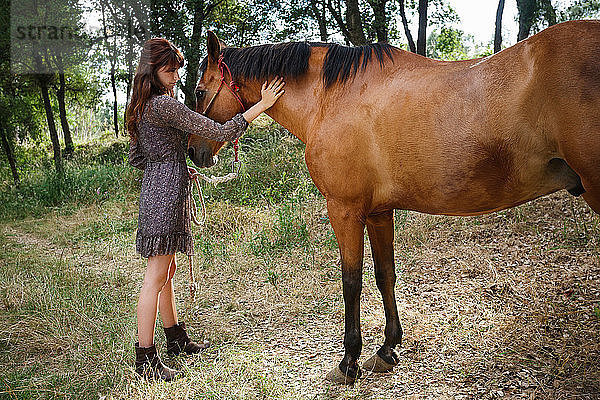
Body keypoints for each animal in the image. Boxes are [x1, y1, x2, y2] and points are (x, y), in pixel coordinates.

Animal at [188, 21, 600, 384]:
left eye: (198, 91)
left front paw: (349, 362)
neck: (331, 97)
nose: (193, 152)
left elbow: (351, 280)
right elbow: (384, 273)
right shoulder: (378, 212)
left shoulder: (345, 211)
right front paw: (387, 350)